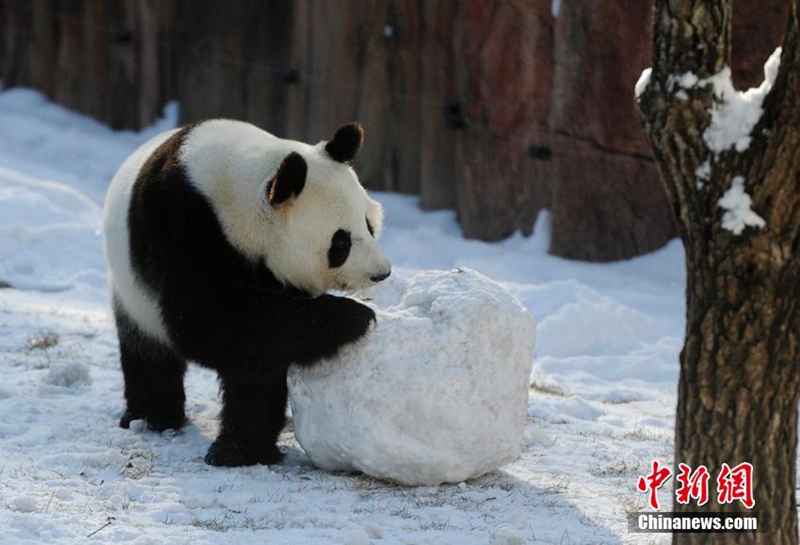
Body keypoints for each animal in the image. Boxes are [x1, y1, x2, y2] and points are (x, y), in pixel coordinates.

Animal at [102, 120, 391, 467]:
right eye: (341, 242)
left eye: (369, 225)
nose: (381, 272)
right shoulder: (183, 226)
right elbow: (208, 321)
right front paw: (354, 316)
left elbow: (263, 342)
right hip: (132, 292)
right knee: (148, 352)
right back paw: (154, 417)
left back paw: (239, 450)